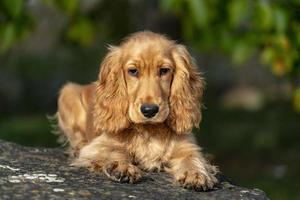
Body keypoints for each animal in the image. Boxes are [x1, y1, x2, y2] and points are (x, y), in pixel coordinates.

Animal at [56, 31, 218, 191]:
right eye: (133, 71)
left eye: (164, 70)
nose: (149, 110)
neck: (150, 131)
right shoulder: (98, 145)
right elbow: (115, 150)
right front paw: (121, 166)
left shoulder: (186, 147)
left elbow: (192, 158)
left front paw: (196, 174)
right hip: (68, 93)